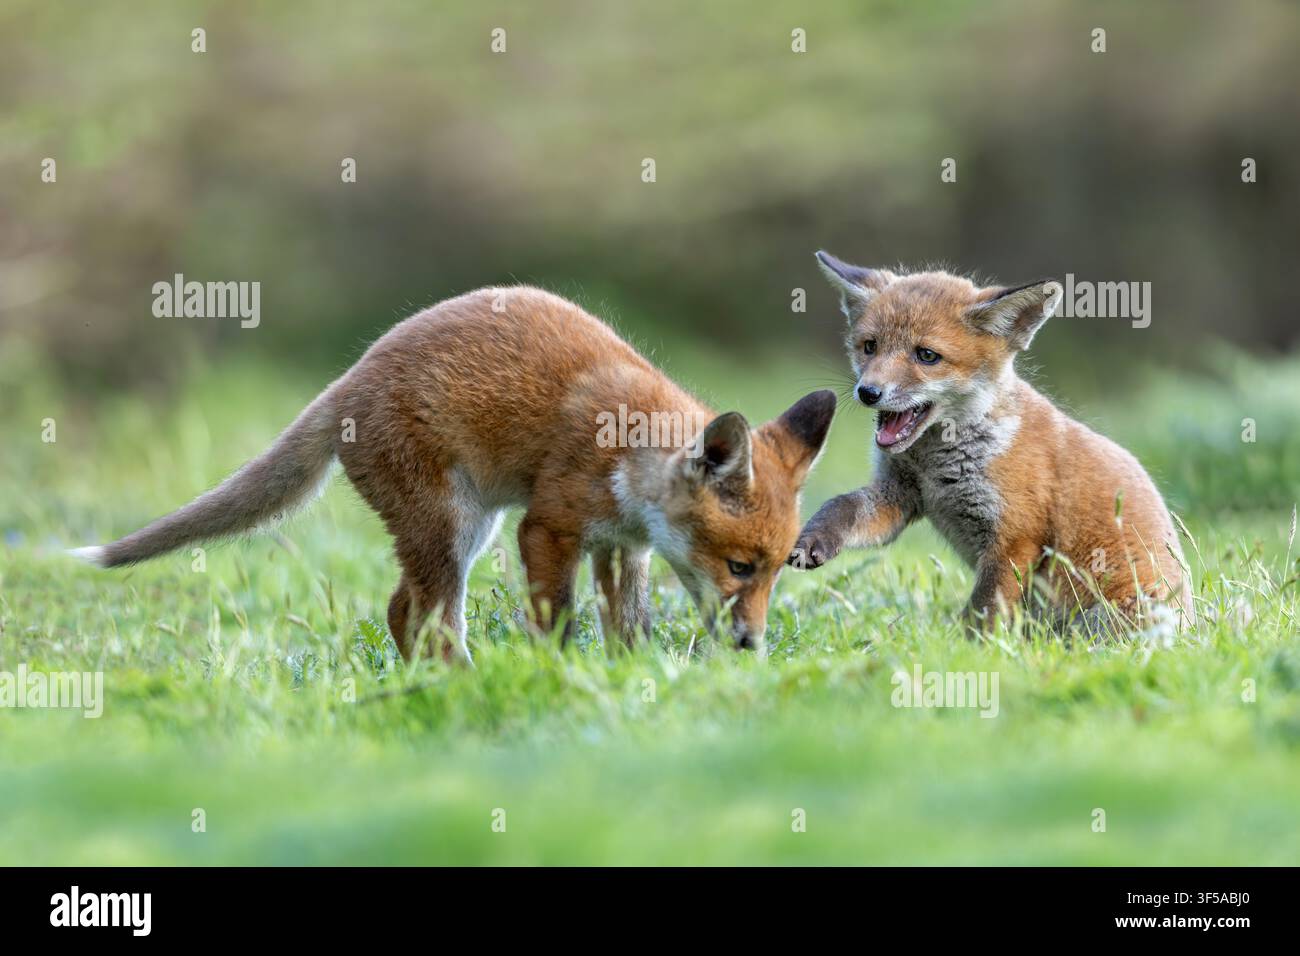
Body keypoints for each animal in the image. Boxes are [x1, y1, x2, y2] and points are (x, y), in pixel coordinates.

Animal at [73, 287, 837, 660]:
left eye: (775, 572)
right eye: (740, 568)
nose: (750, 645)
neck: (628, 456)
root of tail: (348, 379)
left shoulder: (623, 549)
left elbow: (629, 628)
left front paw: (633, 680)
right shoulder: (547, 528)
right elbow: (556, 624)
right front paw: (558, 680)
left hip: (462, 532)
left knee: (399, 612)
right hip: (455, 528)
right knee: (430, 620)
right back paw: (459, 688)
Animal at [789, 251, 1192, 632]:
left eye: (926, 355)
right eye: (870, 347)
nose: (868, 392)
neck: (938, 466)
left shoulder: (1015, 537)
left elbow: (982, 611)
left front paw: (968, 651)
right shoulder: (900, 497)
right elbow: (841, 506)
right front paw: (812, 539)